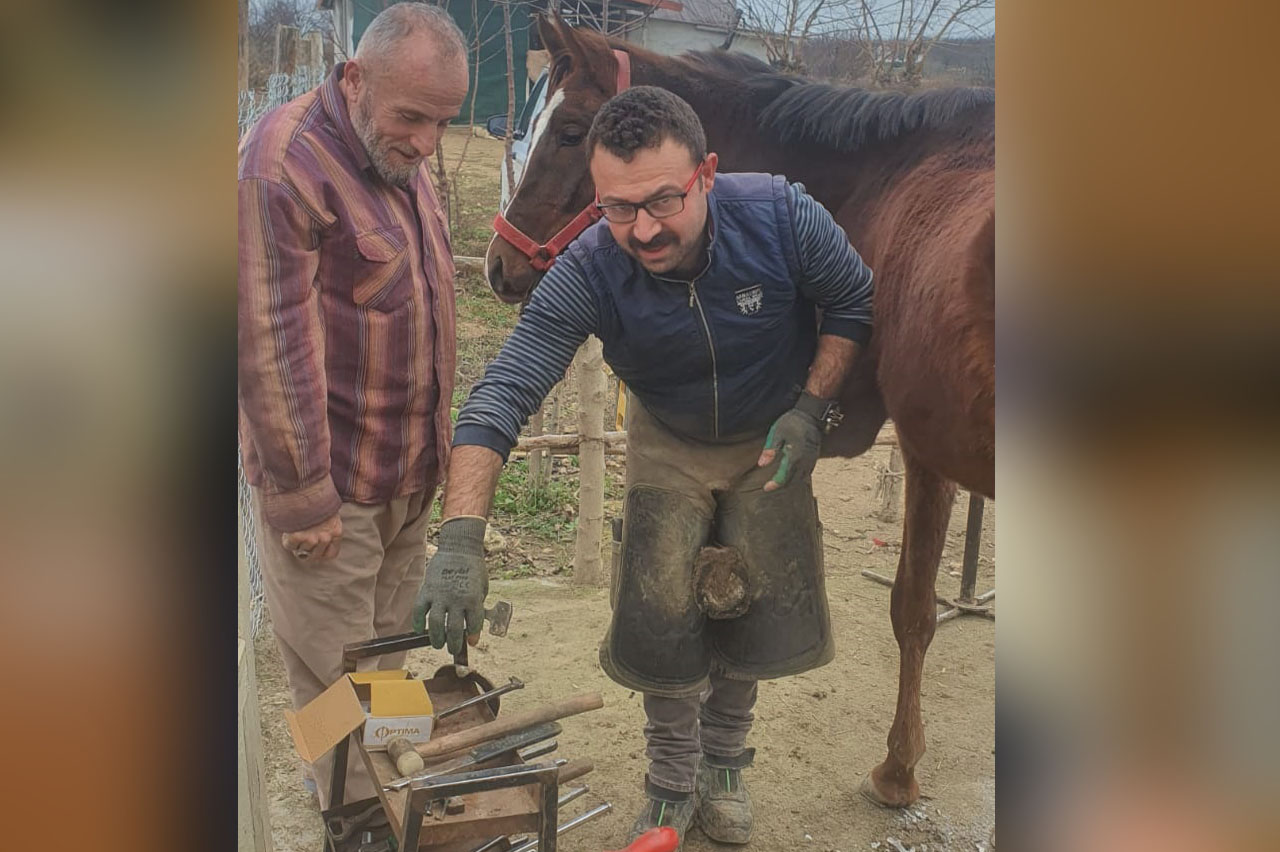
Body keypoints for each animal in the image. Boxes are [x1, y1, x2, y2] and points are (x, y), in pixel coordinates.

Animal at [483, 14, 993, 808]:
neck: (885, 188)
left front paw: (898, 771)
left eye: (568, 132)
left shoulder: (923, 450)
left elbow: (912, 610)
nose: (497, 267)